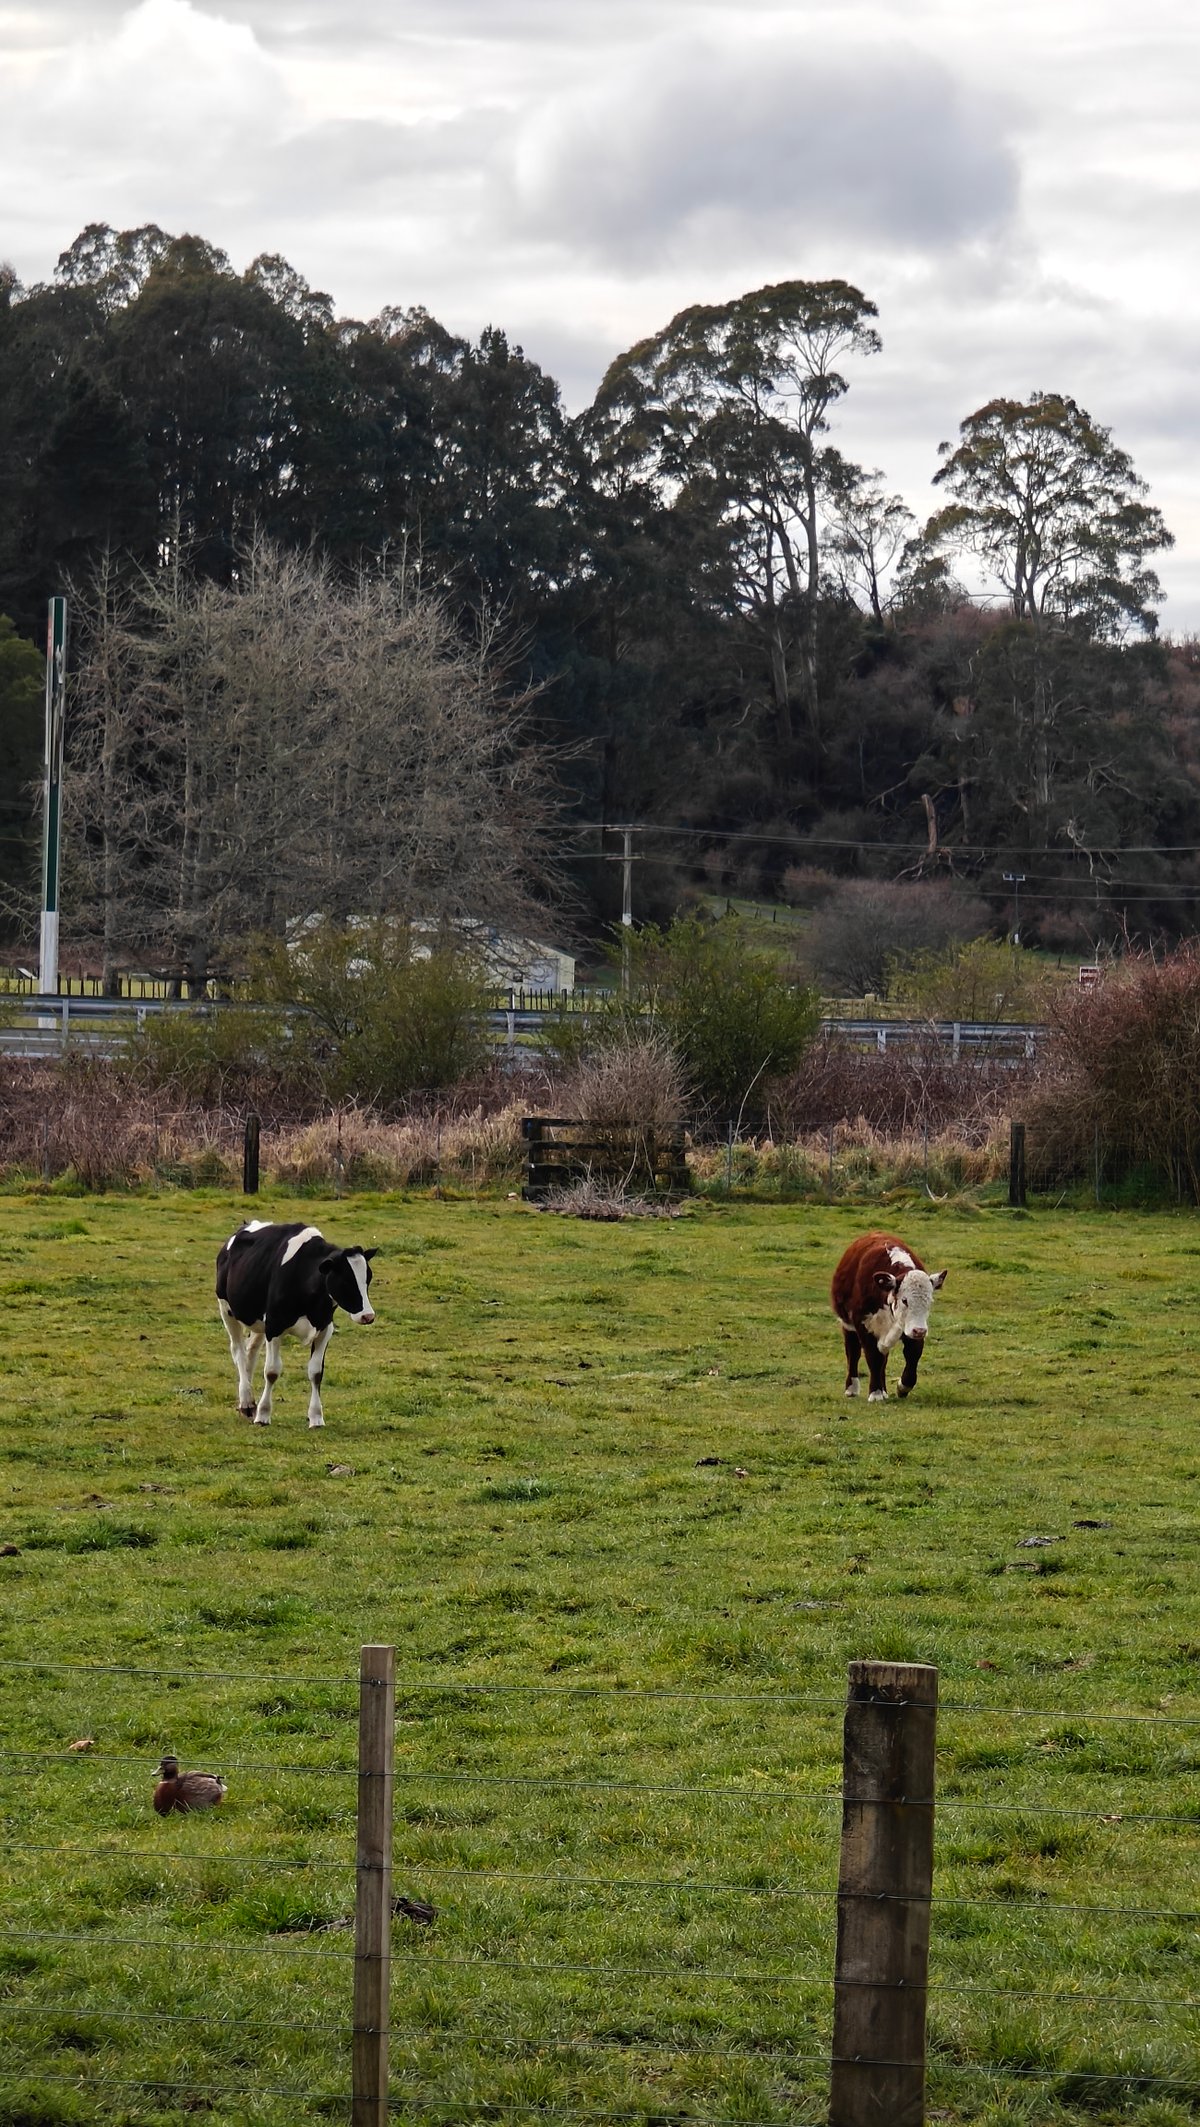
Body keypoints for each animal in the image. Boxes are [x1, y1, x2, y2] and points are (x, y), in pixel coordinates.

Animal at [216, 1221, 377, 1428]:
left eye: (368, 1279)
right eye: (346, 1281)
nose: (368, 1316)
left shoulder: (325, 1328)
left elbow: (316, 1372)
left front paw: (316, 1417)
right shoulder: (274, 1326)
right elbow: (272, 1371)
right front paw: (263, 1415)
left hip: (259, 1321)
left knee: (251, 1351)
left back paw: (249, 1403)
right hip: (227, 1309)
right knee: (239, 1352)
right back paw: (246, 1402)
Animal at [831, 1232, 946, 1402]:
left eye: (929, 1301)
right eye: (904, 1300)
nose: (920, 1331)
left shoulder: (910, 1328)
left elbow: (912, 1354)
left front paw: (902, 1387)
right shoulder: (863, 1324)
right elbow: (873, 1356)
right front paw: (876, 1393)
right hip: (848, 1325)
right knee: (853, 1352)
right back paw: (852, 1389)